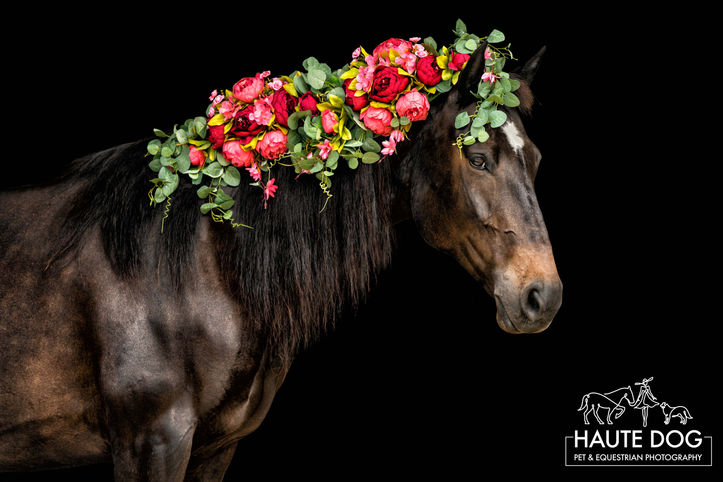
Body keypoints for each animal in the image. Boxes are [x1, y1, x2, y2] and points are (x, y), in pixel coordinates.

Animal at [0, 42, 561, 480]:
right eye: (478, 159)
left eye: (534, 160)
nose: (544, 296)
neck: (197, 268)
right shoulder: (150, 442)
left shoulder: (213, 448)